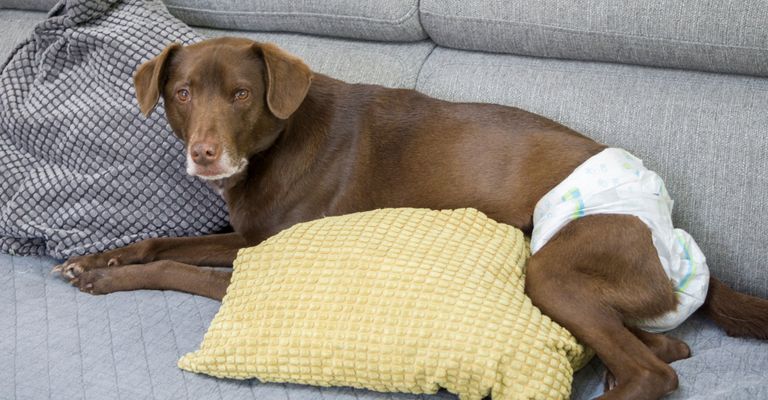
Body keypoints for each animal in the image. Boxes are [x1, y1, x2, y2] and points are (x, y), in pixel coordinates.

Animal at [54, 36, 768, 396]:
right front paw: (95, 257)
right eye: (181, 92)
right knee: (660, 347)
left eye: (240, 95)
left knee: (654, 371)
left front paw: (106, 278)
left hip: (555, 267)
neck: (275, 147)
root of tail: (675, 233)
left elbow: (178, 268)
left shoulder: (261, 256)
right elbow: (164, 242)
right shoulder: (245, 238)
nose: (204, 155)